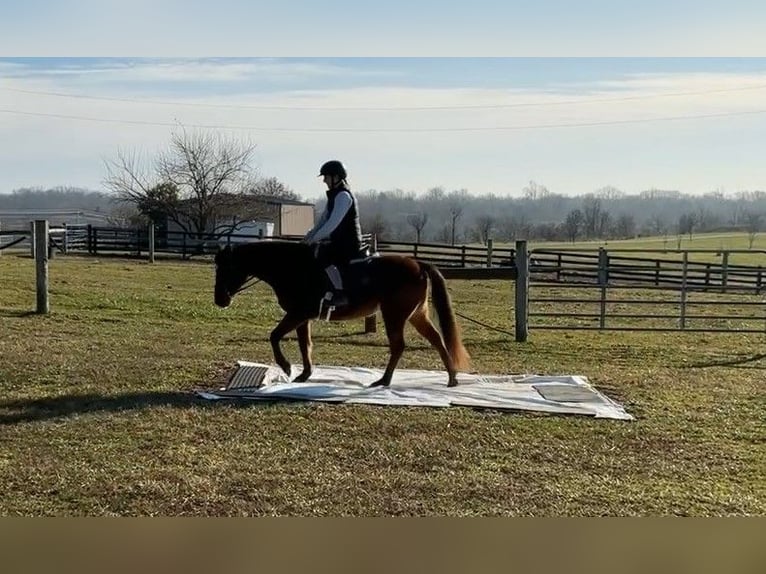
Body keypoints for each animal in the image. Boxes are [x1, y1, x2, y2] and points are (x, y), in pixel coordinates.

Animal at [213, 240, 470, 387]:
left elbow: (275, 336)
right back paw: (452, 378)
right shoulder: (303, 317)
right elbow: (304, 345)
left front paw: (286, 367)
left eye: (226, 267)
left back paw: (384, 380)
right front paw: (304, 374)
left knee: (399, 346)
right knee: (437, 339)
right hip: (417, 315)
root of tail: (418, 264)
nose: (219, 300)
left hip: (394, 315)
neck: (291, 267)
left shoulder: (298, 313)